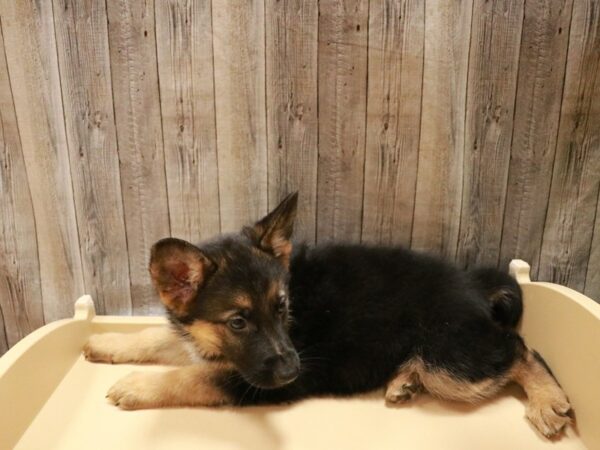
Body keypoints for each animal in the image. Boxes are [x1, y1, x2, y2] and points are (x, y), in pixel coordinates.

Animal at [84, 194, 572, 440]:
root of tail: (472, 283)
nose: (293, 369)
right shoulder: (209, 343)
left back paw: (547, 401)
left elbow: (194, 376)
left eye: (283, 307)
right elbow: (158, 338)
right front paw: (108, 342)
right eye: (238, 322)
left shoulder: (250, 382)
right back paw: (403, 381)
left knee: (519, 349)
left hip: (450, 361)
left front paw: (138, 385)